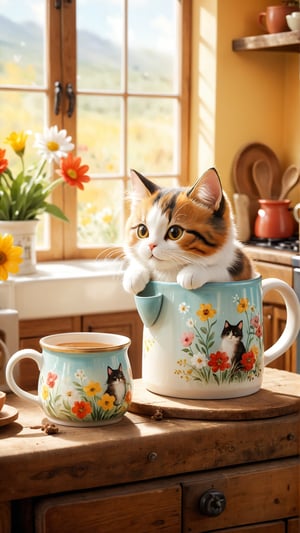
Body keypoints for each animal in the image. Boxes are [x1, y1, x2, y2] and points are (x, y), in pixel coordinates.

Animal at [123, 168, 254, 294]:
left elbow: (221, 269)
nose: (151, 245)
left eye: (175, 233)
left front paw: (193, 272)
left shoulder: (242, 267)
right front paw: (134, 274)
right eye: (142, 230)